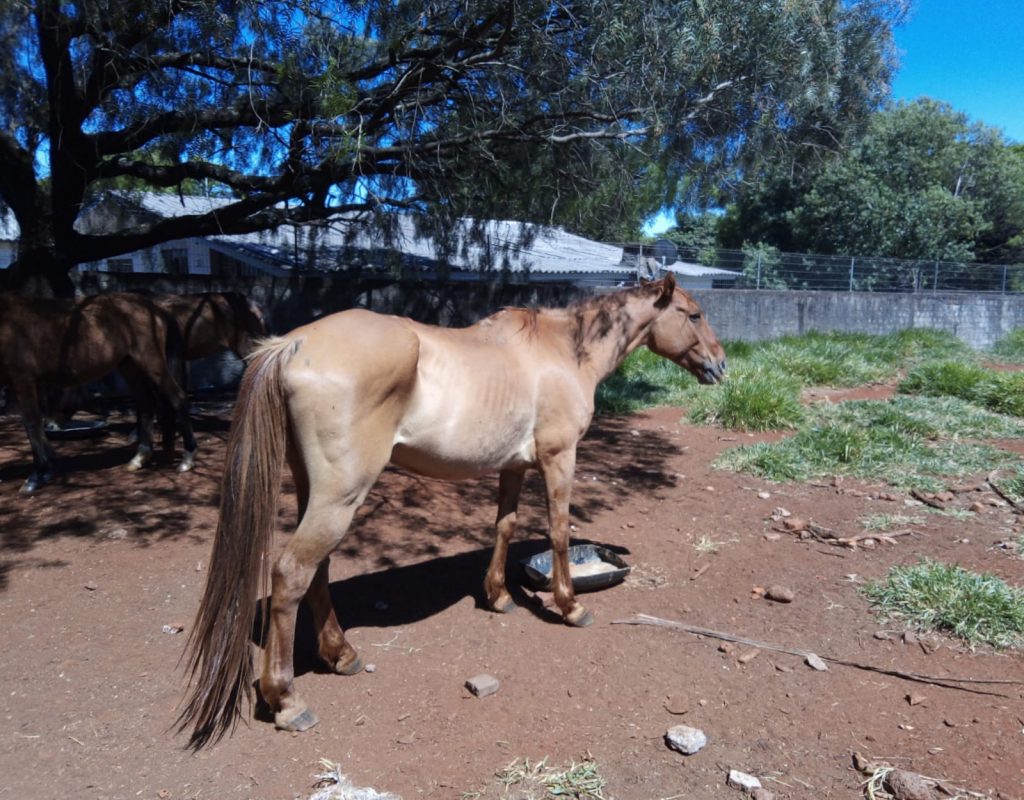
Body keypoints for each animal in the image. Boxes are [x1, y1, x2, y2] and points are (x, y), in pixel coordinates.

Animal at [0, 292, 198, 493]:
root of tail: (153, 307)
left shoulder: (23, 380)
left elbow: (32, 424)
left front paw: (37, 475)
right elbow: (34, 425)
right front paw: (48, 468)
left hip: (152, 362)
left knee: (178, 398)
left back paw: (187, 459)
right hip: (129, 365)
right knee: (147, 404)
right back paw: (140, 458)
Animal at [178, 274, 726, 749]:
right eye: (694, 314)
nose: (720, 366)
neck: (562, 352)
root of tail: (290, 345)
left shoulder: (514, 466)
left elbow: (504, 526)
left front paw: (498, 596)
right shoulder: (558, 458)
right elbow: (558, 532)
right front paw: (570, 606)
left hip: (320, 493)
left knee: (318, 570)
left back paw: (342, 655)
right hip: (340, 495)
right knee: (292, 574)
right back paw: (288, 700)